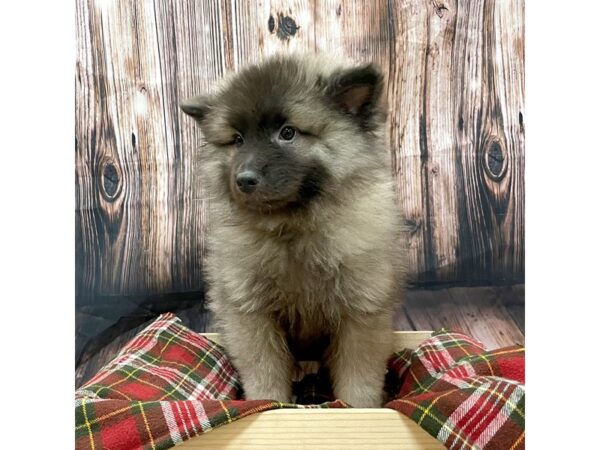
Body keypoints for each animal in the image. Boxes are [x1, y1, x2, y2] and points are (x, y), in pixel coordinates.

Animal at [180, 52, 406, 408]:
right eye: (238, 140)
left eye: (288, 133)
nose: (244, 180)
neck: (293, 226)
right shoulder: (252, 316)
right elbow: (265, 373)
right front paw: (267, 403)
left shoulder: (361, 315)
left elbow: (359, 379)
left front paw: (360, 408)